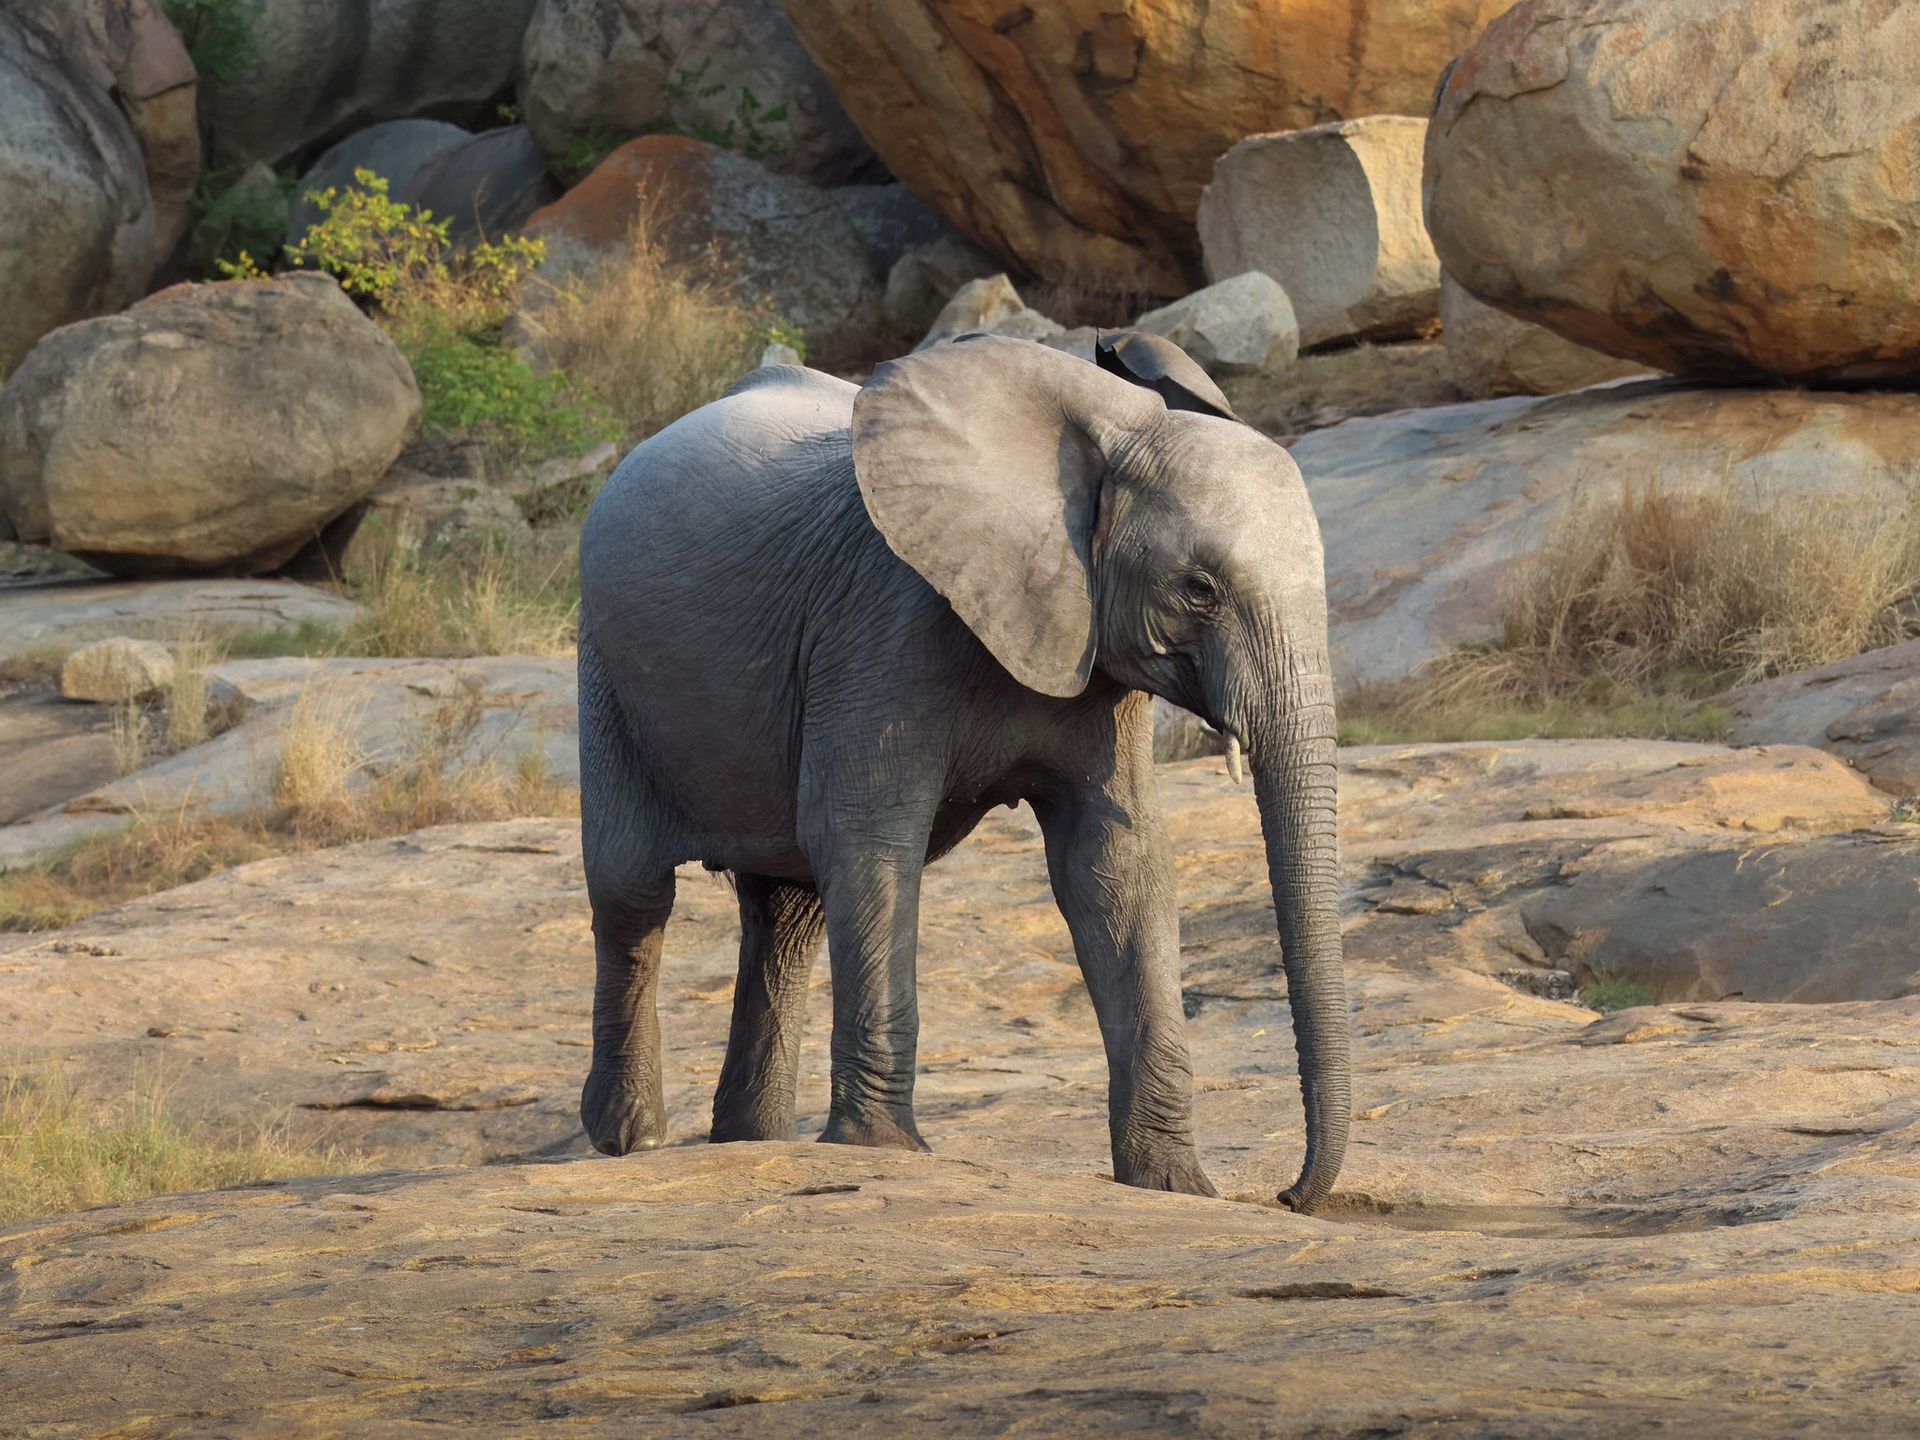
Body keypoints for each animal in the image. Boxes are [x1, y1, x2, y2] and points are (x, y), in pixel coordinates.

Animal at [575, 332, 1349, 1212]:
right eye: (1200, 589)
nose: (1288, 1195)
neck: (1106, 431)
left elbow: (1116, 865)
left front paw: (1175, 1188)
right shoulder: (883, 615)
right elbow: (867, 839)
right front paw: (885, 1153)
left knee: (787, 914)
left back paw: (751, 1142)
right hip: (606, 668)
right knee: (634, 893)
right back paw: (630, 1138)